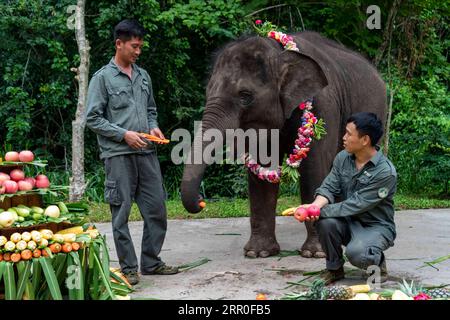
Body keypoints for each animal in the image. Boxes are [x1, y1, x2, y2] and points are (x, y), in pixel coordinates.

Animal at [179, 31, 386, 258]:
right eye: (207, 92)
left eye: (245, 96)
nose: (201, 200)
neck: (279, 52)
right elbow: (263, 171)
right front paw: (258, 253)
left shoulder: (323, 107)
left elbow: (313, 169)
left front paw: (315, 254)